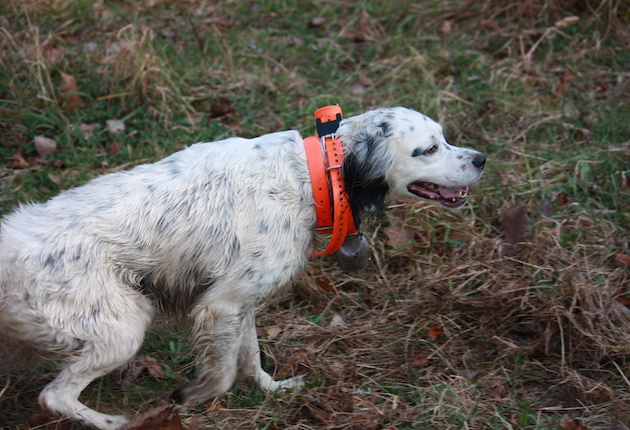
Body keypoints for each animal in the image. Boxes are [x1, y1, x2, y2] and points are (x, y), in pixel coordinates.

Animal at [0, 106, 488, 426]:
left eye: (445, 138)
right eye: (429, 148)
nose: (482, 159)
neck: (315, 175)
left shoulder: (239, 302)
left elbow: (250, 358)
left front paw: (273, 391)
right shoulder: (220, 306)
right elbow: (222, 375)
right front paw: (189, 396)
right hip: (123, 327)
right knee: (55, 395)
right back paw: (116, 422)